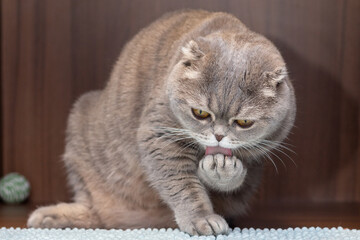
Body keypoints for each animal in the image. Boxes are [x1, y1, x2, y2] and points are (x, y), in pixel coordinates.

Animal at [26, 9, 296, 236]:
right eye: (200, 113)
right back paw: (48, 216)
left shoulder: (257, 156)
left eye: (244, 122)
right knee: (94, 211)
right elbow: (182, 185)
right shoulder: (160, 136)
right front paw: (201, 219)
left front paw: (222, 169)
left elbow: (231, 182)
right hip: (79, 130)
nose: (219, 136)